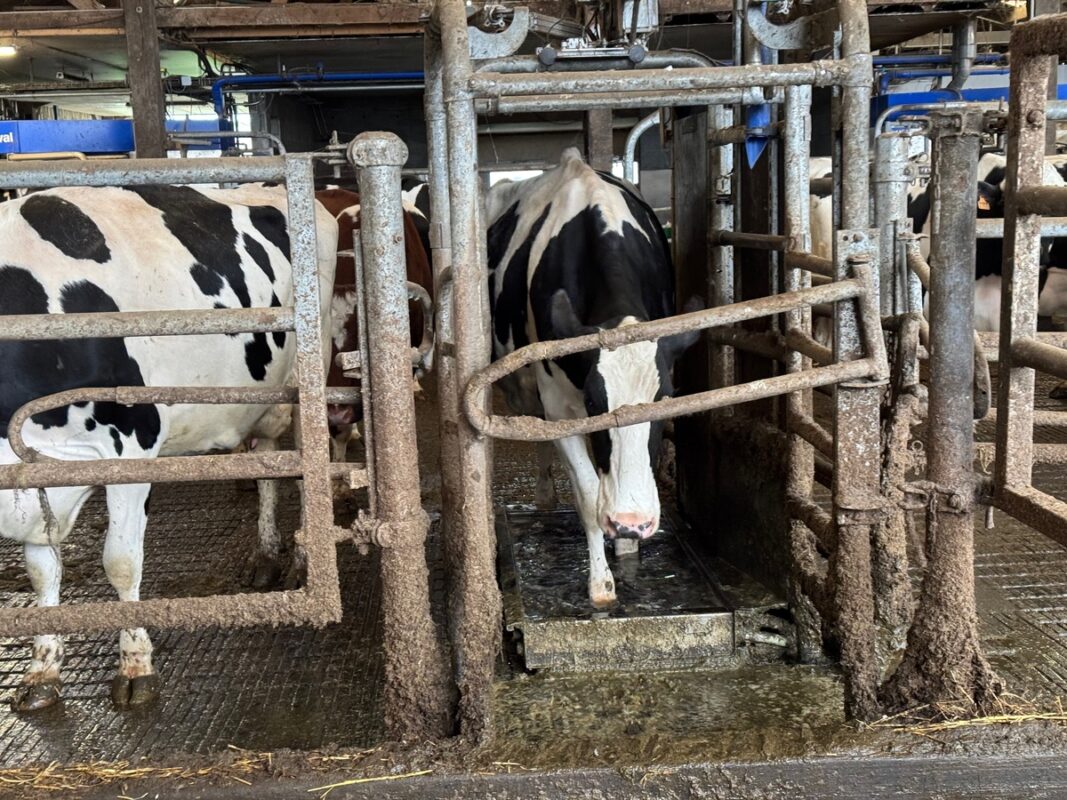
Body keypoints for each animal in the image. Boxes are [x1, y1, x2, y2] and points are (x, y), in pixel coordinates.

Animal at [0, 184, 337, 712]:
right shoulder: (34, 476)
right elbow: (41, 571)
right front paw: (42, 670)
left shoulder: (131, 446)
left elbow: (120, 562)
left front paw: (136, 664)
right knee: (267, 461)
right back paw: (265, 555)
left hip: (309, 381)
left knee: (305, 469)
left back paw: (303, 561)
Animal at [484, 149, 699, 605]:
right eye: (595, 404)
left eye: (666, 400)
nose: (632, 521)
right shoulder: (559, 403)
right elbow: (585, 492)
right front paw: (601, 584)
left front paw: (628, 547)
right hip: (519, 383)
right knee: (535, 426)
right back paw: (546, 494)